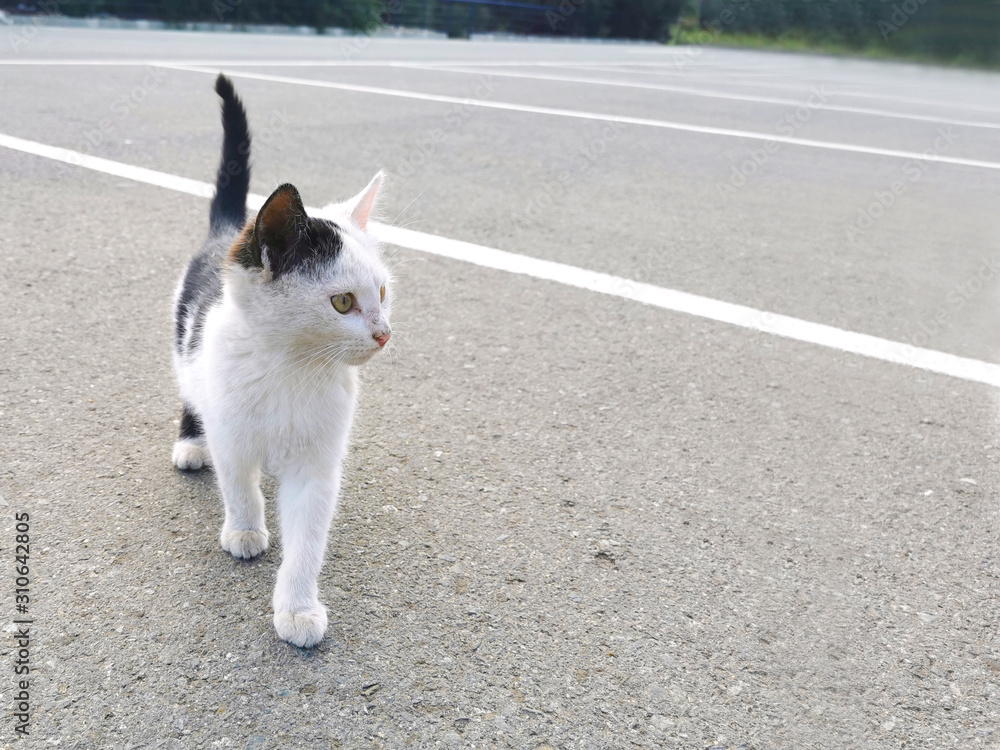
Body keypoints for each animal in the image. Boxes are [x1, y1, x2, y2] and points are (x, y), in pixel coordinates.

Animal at [172, 76, 390, 648]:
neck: (289, 370)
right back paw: (190, 443)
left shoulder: (317, 465)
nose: (384, 334)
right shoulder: (230, 431)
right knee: (190, 395)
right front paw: (246, 529)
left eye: (382, 293)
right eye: (343, 301)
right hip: (185, 346)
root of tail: (228, 231)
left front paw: (297, 607)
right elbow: (237, 482)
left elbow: (309, 536)